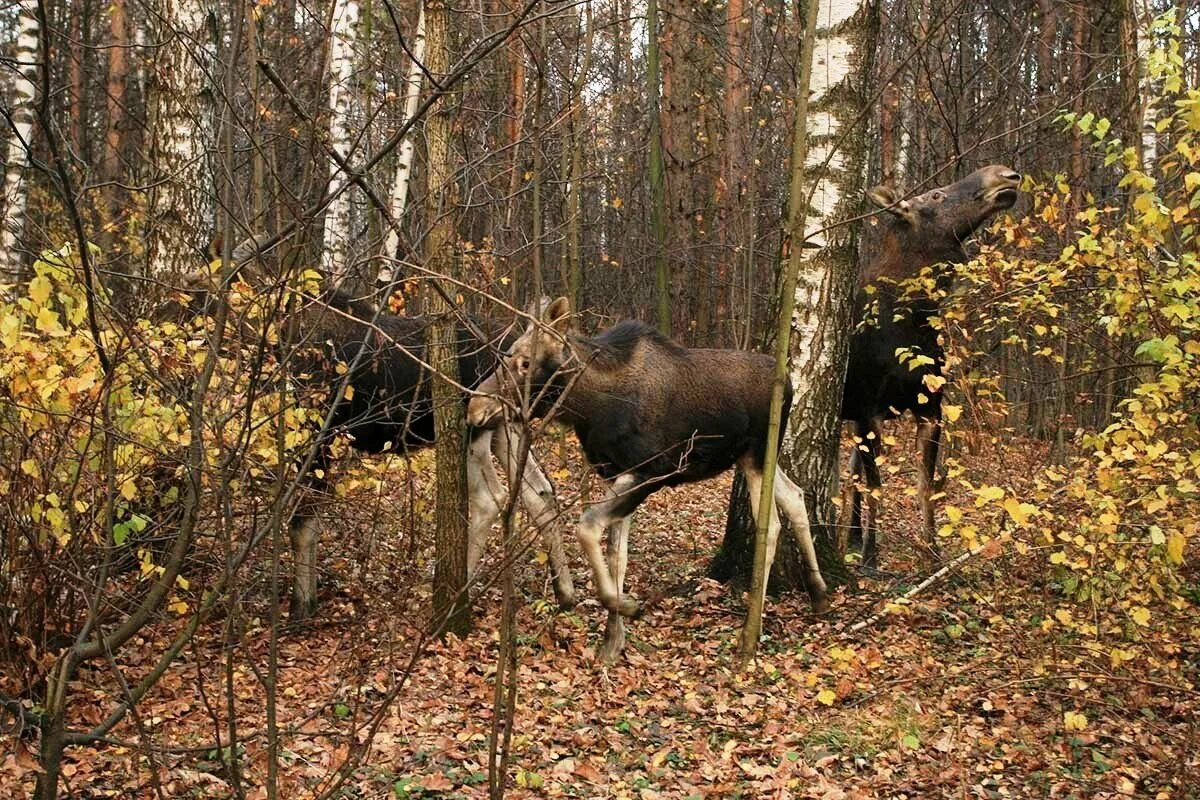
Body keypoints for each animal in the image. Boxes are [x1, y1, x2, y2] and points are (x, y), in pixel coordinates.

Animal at [172, 260, 576, 623]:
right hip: (506, 429)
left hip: (473, 428)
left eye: (199, 295)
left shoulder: (321, 436)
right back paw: (565, 593)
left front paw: (301, 607)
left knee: (490, 500)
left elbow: (302, 526)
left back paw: (452, 599)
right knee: (541, 494)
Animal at [463, 297, 830, 662]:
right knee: (795, 496)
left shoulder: (653, 470)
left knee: (771, 525)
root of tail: (791, 385)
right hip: (752, 457)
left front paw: (627, 607)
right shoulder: (613, 474)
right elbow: (617, 557)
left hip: (757, 454)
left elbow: (588, 527)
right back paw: (819, 595)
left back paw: (749, 634)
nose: (474, 409)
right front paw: (612, 641)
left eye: (525, 362)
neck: (591, 407)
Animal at [844, 165, 1022, 573]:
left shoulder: (931, 407)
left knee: (850, 471)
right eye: (936, 195)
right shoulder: (869, 411)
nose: (1005, 175)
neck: (914, 319)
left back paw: (853, 535)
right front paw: (871, 557)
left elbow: (927, 485)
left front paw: (932, 551)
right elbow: (877, 485)